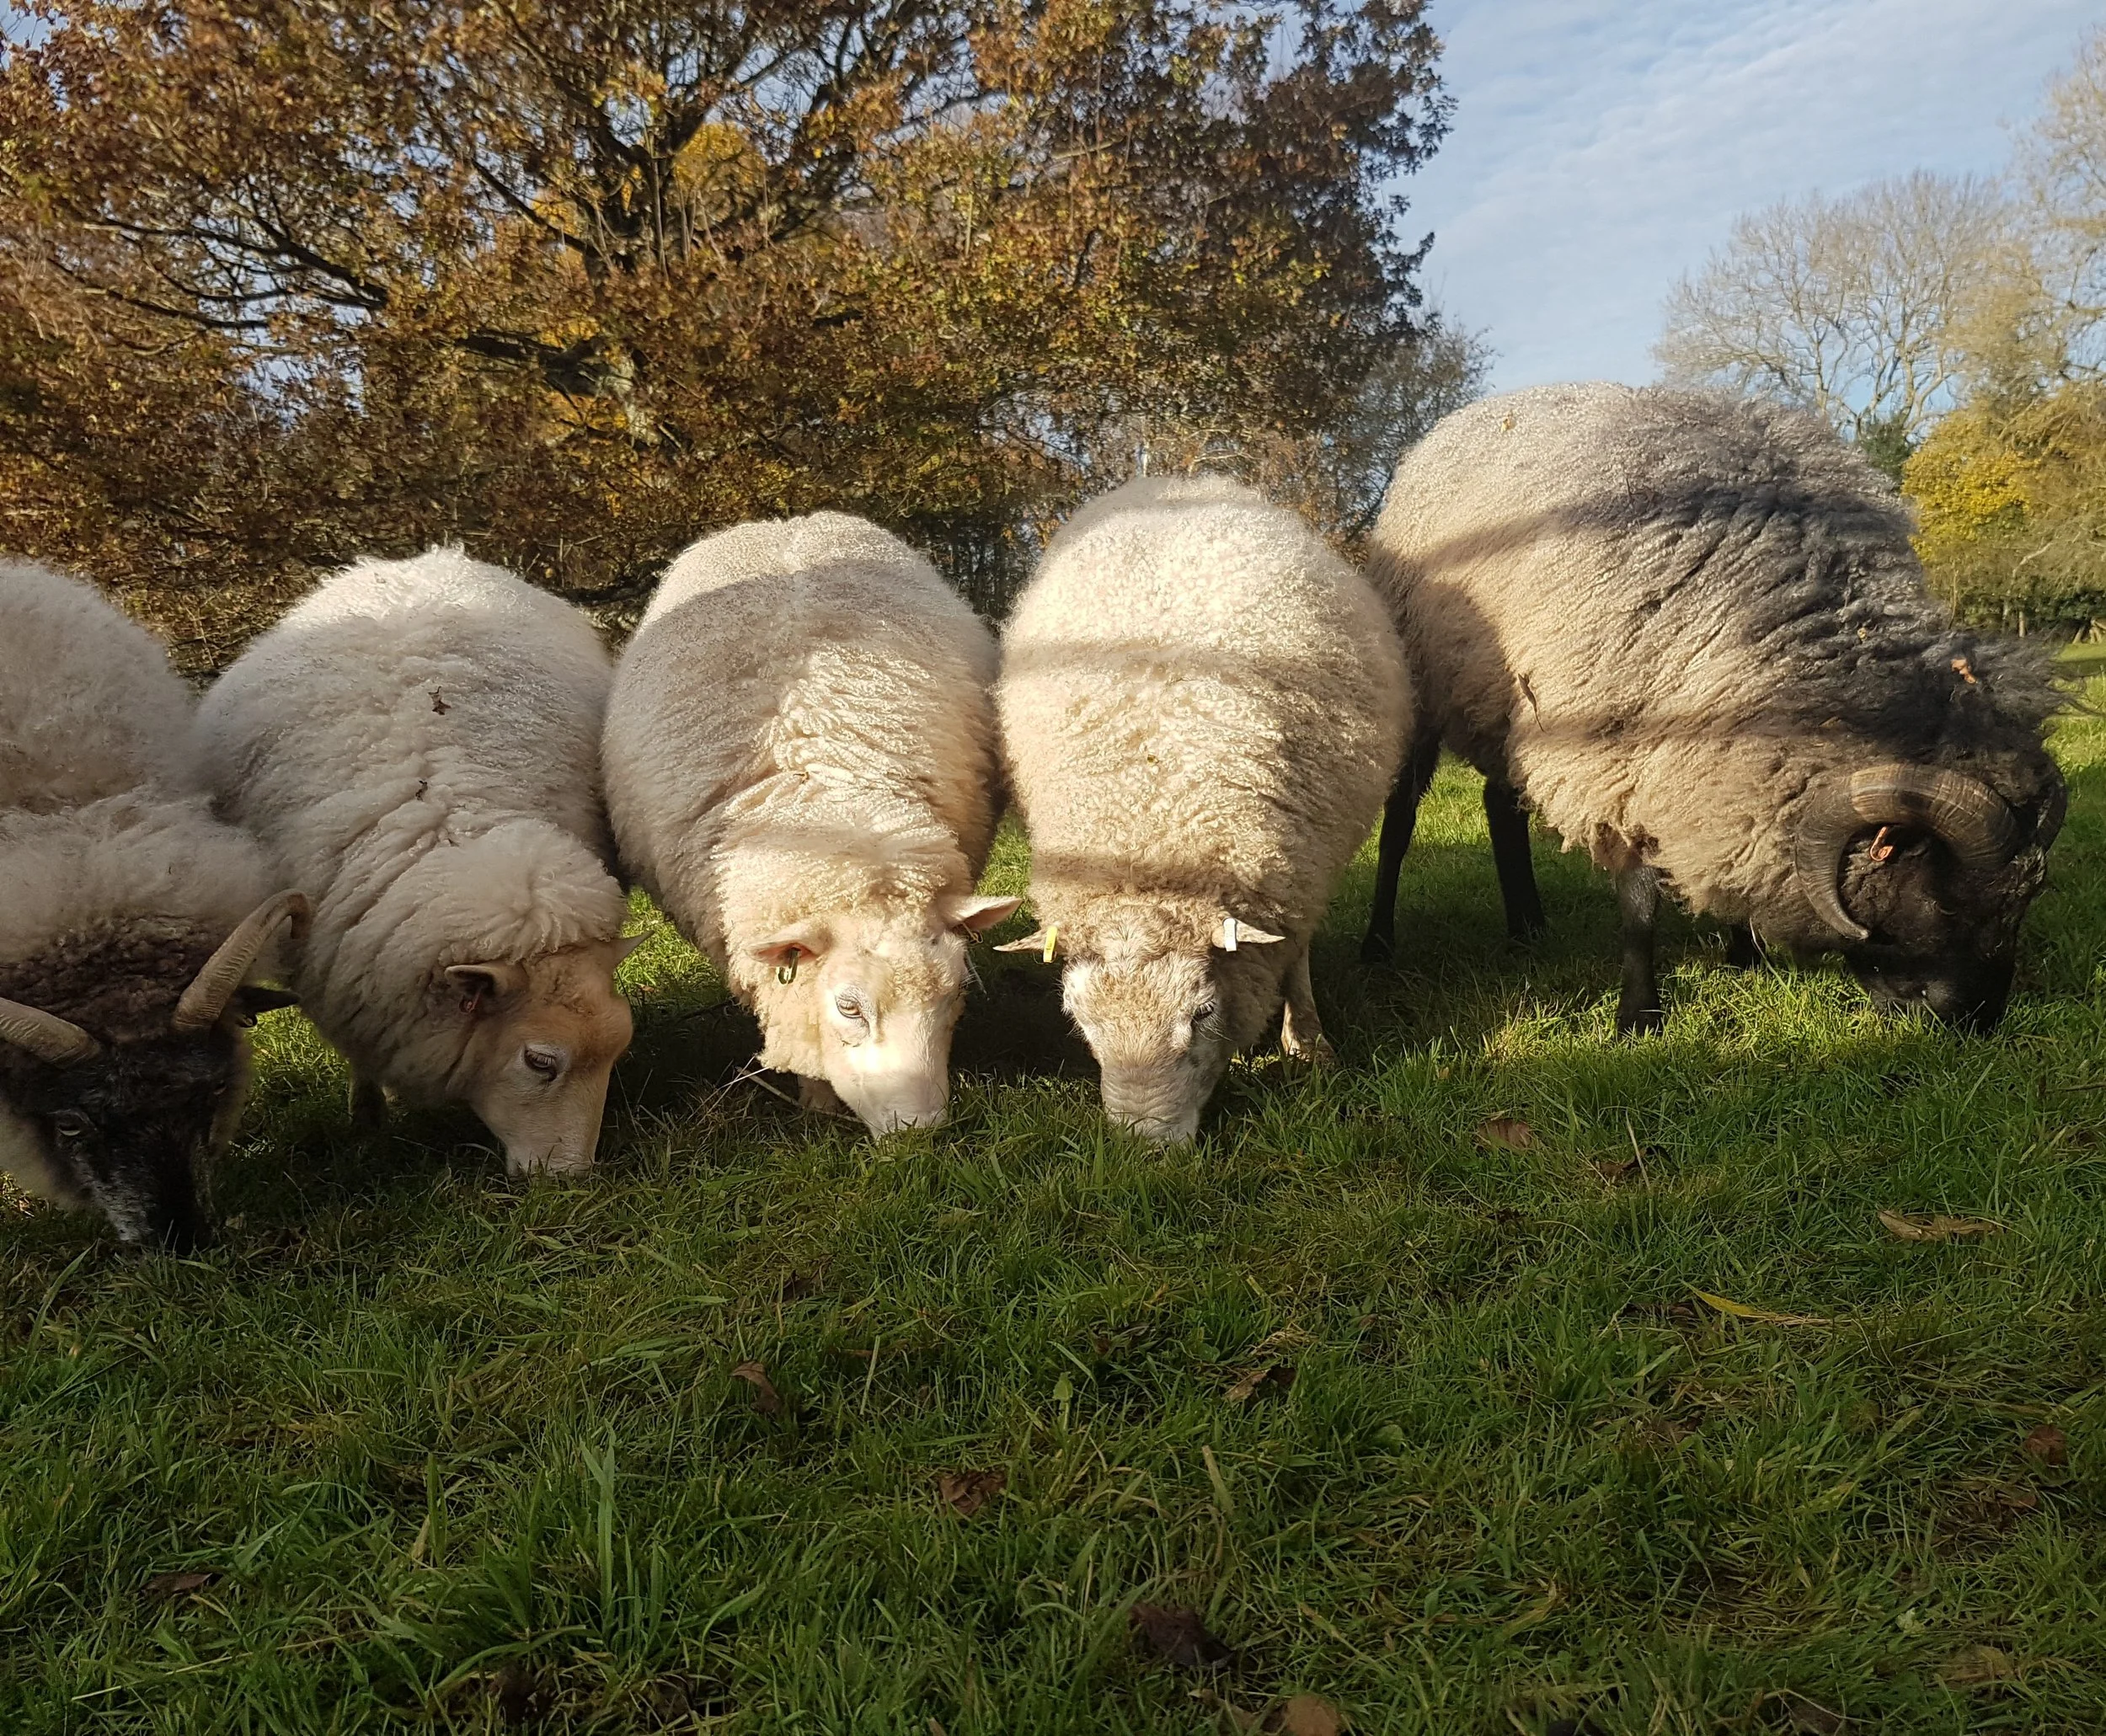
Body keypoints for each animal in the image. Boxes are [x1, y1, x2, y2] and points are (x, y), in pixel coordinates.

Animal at [196, 547, 635, 1172]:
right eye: (540, 1061)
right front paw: (368, 1117)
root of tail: (416, 561)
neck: (449, 825)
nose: (571, 1177)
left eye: (620, 1048)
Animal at [601, 513, 1017, 1134]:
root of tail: (785, 521)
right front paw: (817, 1106)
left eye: (956, 993)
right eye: (849, 1007)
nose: (919, 1132)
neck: (826, 808)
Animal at [994, 475, 1411, 1143]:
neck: (1154, 821)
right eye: (1080, 1021)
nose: (1146, 1146)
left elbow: (1296, 955)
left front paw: (1308, 1042)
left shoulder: (1306, 871)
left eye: (1203, 1012)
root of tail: (1183, 480)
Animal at [1359, 381, 2067, 1034]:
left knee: (1499, 806)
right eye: (1943, 901)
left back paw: (1528, 926)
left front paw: (1743, 953)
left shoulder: (1720, 769)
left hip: (1507, 711)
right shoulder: (1617, 759)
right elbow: (1639, 902)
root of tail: (1454, 425)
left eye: (2028, 897)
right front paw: (1639, 1014)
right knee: (1399, 826)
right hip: (1422, 689)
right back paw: (1378, 943)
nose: (1974, 1021)